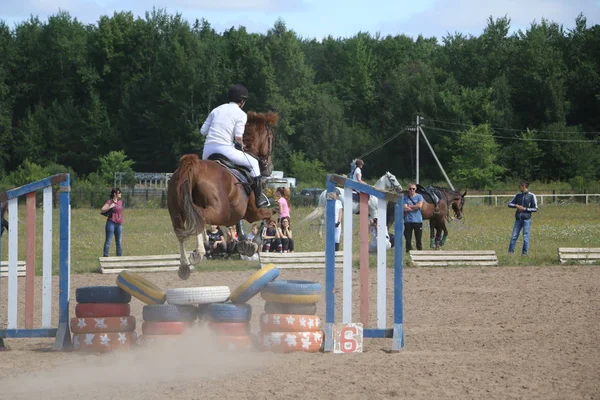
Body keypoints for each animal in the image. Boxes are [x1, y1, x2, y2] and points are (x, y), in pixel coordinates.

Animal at [164, 109, 276, 280]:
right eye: (271, 138)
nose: (269, 168)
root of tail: (193, 167)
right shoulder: (252, 212)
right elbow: (267, 216)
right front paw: (254, 243)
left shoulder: (235, 212)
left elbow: (237, 224)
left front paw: (244, 242)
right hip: (218, 211)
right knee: (200, 218)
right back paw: (199, 252)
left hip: (176, 210)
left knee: (181, 230)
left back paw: (184, 265)